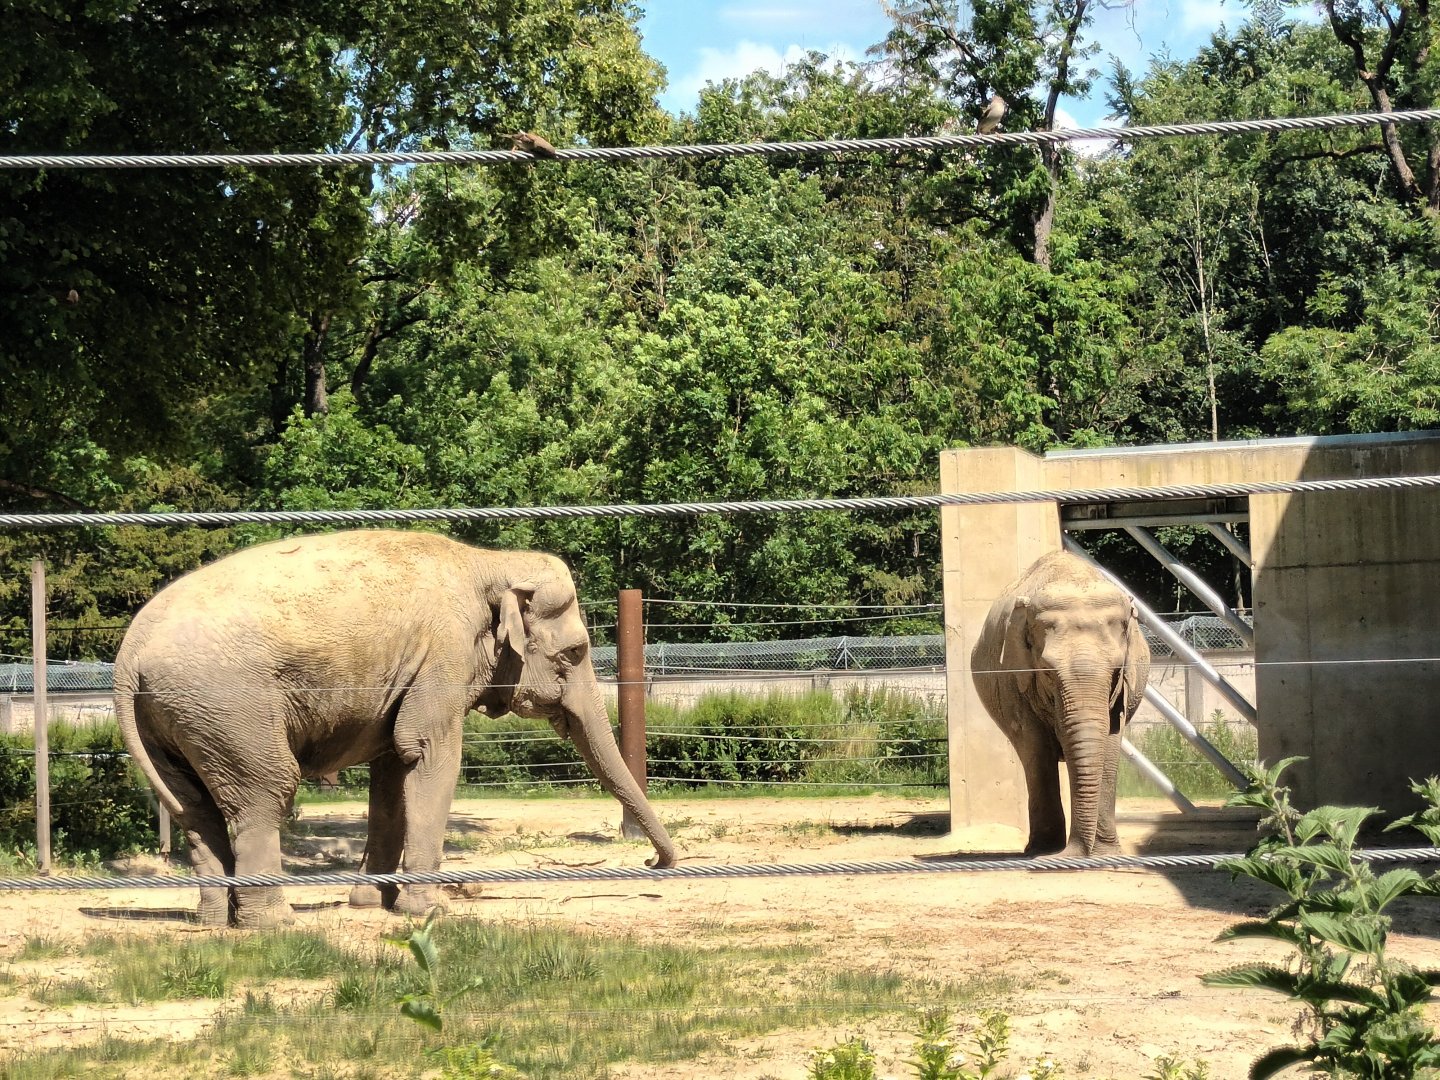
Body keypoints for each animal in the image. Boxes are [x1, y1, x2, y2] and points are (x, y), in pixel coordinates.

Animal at [114, 529, 677, 927]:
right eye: (575, 653)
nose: (653, 864)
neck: (489, 562)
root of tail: (128, 654)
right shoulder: (443, 656)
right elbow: (428, 754)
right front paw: (428, 912)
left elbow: (390, 771)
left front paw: (371, 903)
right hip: (229, 708)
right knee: (264, 794)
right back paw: (275, 923)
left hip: (179, 719)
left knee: (195, 809)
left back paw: (215, 923)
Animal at [971, 550, 1150, 858]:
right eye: (1047, 672)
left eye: (1116, 671)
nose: (1076, 852)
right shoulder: (1014, 679)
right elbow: (1035, 746)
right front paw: (1043, 851)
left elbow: (1110, 744)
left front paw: (1106, 853)